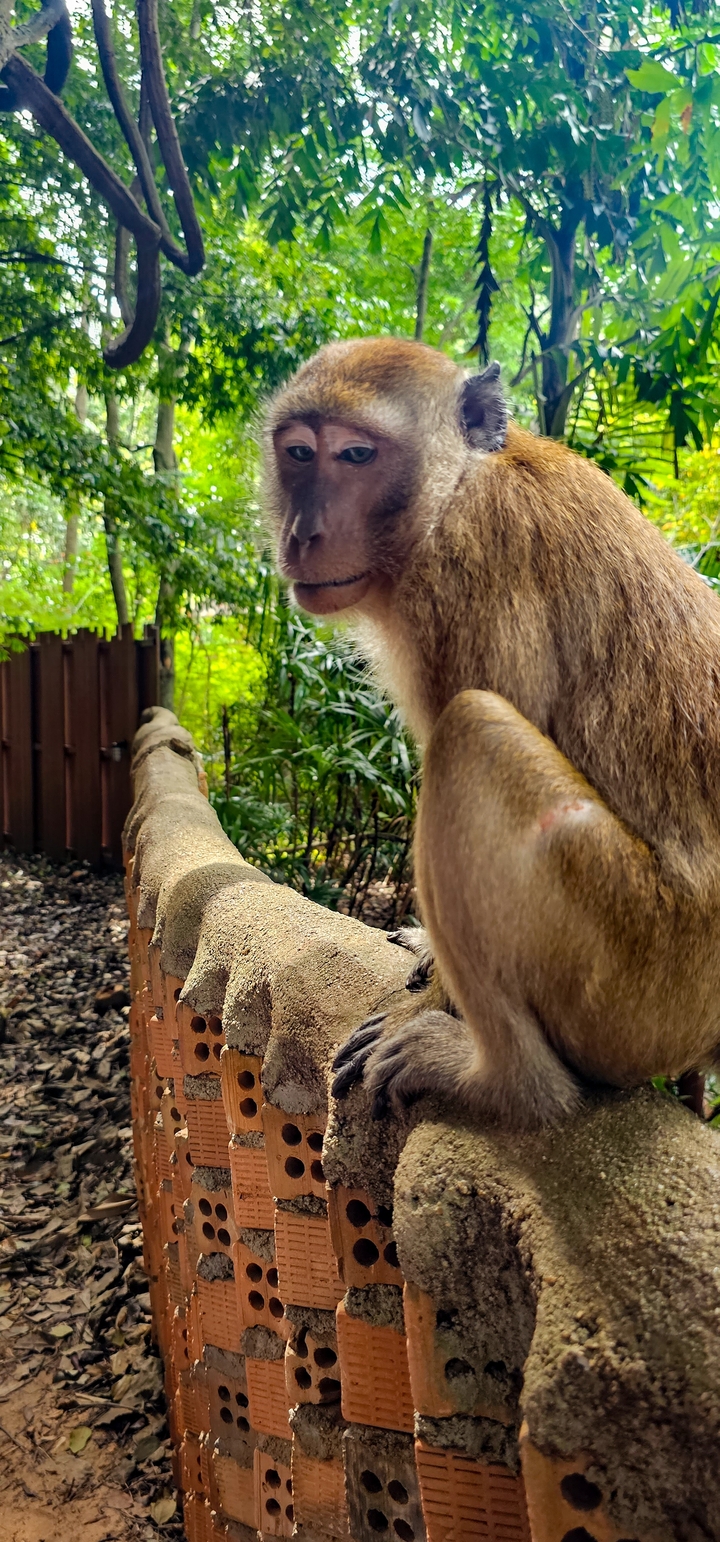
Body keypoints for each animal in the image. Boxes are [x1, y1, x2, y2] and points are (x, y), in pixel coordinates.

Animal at [262, 335, 720, 1129]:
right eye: (297, 453)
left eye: (356, 454)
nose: (302, 533)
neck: (459, 486)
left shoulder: (472, 571)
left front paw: (434, 998)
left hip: (643, 975)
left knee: (470, 732)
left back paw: (504, 1083)